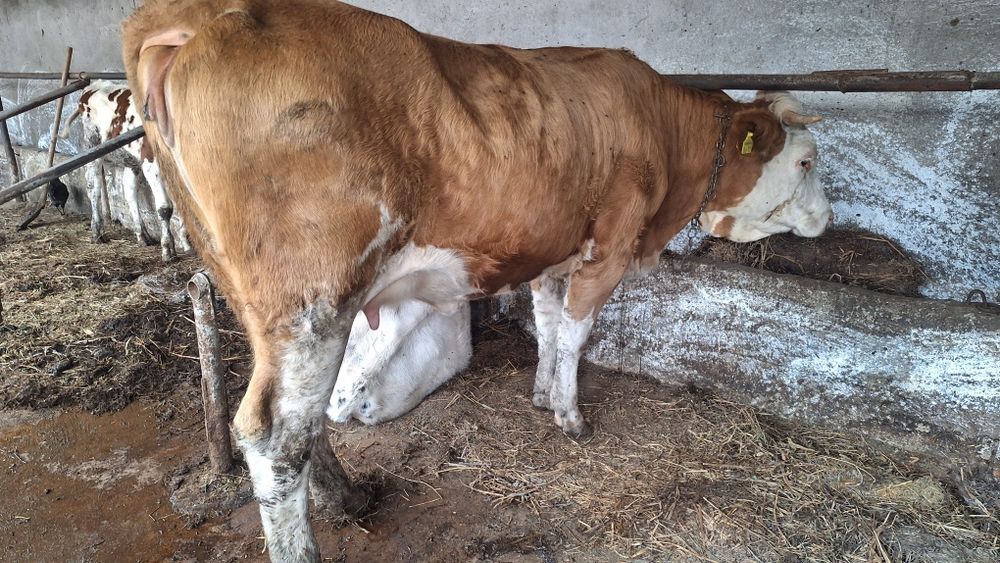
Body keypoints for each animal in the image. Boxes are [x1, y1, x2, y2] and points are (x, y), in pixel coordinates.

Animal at [61, 81, 185, 261]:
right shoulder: (151, 162)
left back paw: (142, 235)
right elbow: (164, 208)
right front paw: (168, 248)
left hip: (131, 160)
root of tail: (93, 85)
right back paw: (97, 231)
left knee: (129, 191)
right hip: (93, 147)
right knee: (94, 188)